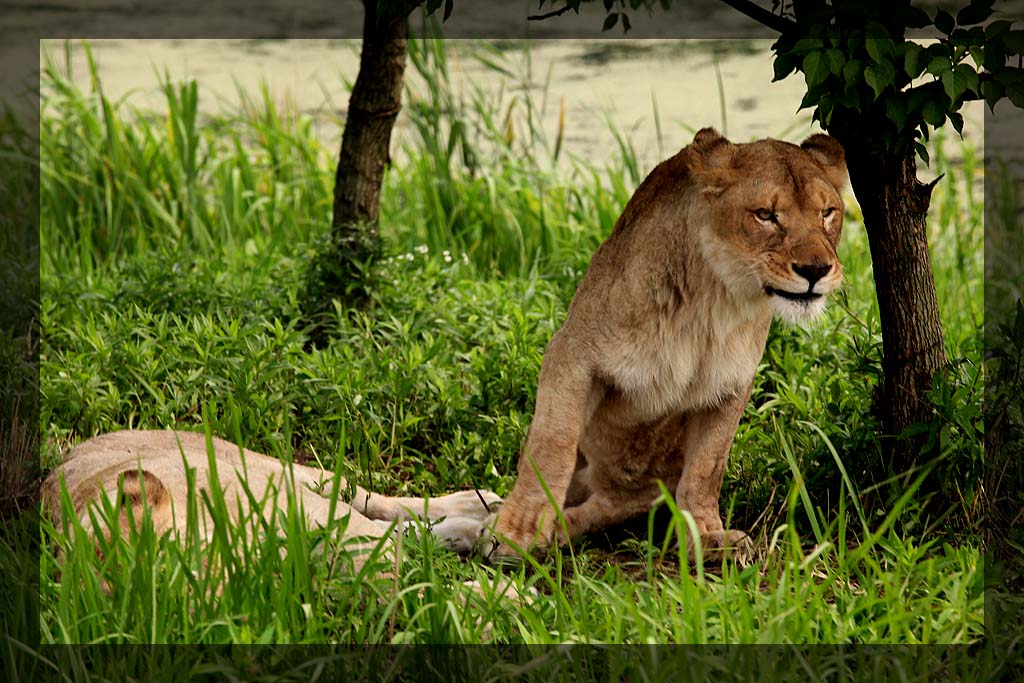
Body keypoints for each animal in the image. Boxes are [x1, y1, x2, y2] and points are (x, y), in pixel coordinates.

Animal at [483, 129, 843, 565]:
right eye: (765, 215)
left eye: (827, 213)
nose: (815, 270)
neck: (714, 298)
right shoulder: (572, 356)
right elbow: (552, 444)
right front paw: (518, 530)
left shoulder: (730, 387)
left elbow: (707, 467)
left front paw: (705, 535)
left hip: (638, 493)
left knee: (608, 507)